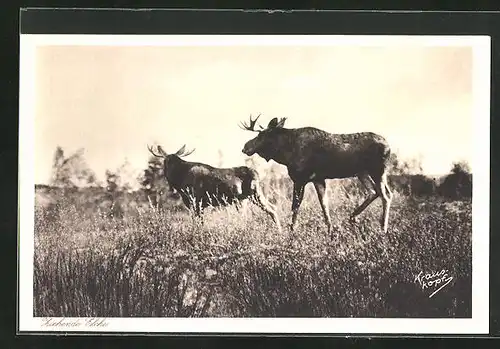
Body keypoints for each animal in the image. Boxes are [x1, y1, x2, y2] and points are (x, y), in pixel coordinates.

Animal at [147, 143, 282, 230]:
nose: (169, 175)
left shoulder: (196, 201)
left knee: (264, 211)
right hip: (248, 197)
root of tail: (257, 173)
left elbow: (199, 223)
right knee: (271, 208)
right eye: (165, 162)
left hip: (251, 194)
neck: (181, 183)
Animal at [240, 113, 392, 238]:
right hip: (363, 172)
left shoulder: (300, 179)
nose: (245, 147)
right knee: (374, 192)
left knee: (385, 195)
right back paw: (353, 216)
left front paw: (292, 231)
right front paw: (330, 231)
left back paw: (383, 228)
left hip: (377, 170)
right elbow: (324, 204)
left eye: (261, 135)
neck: (285, 154)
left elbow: (295, 206)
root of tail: (388, 146)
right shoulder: (318, 179)